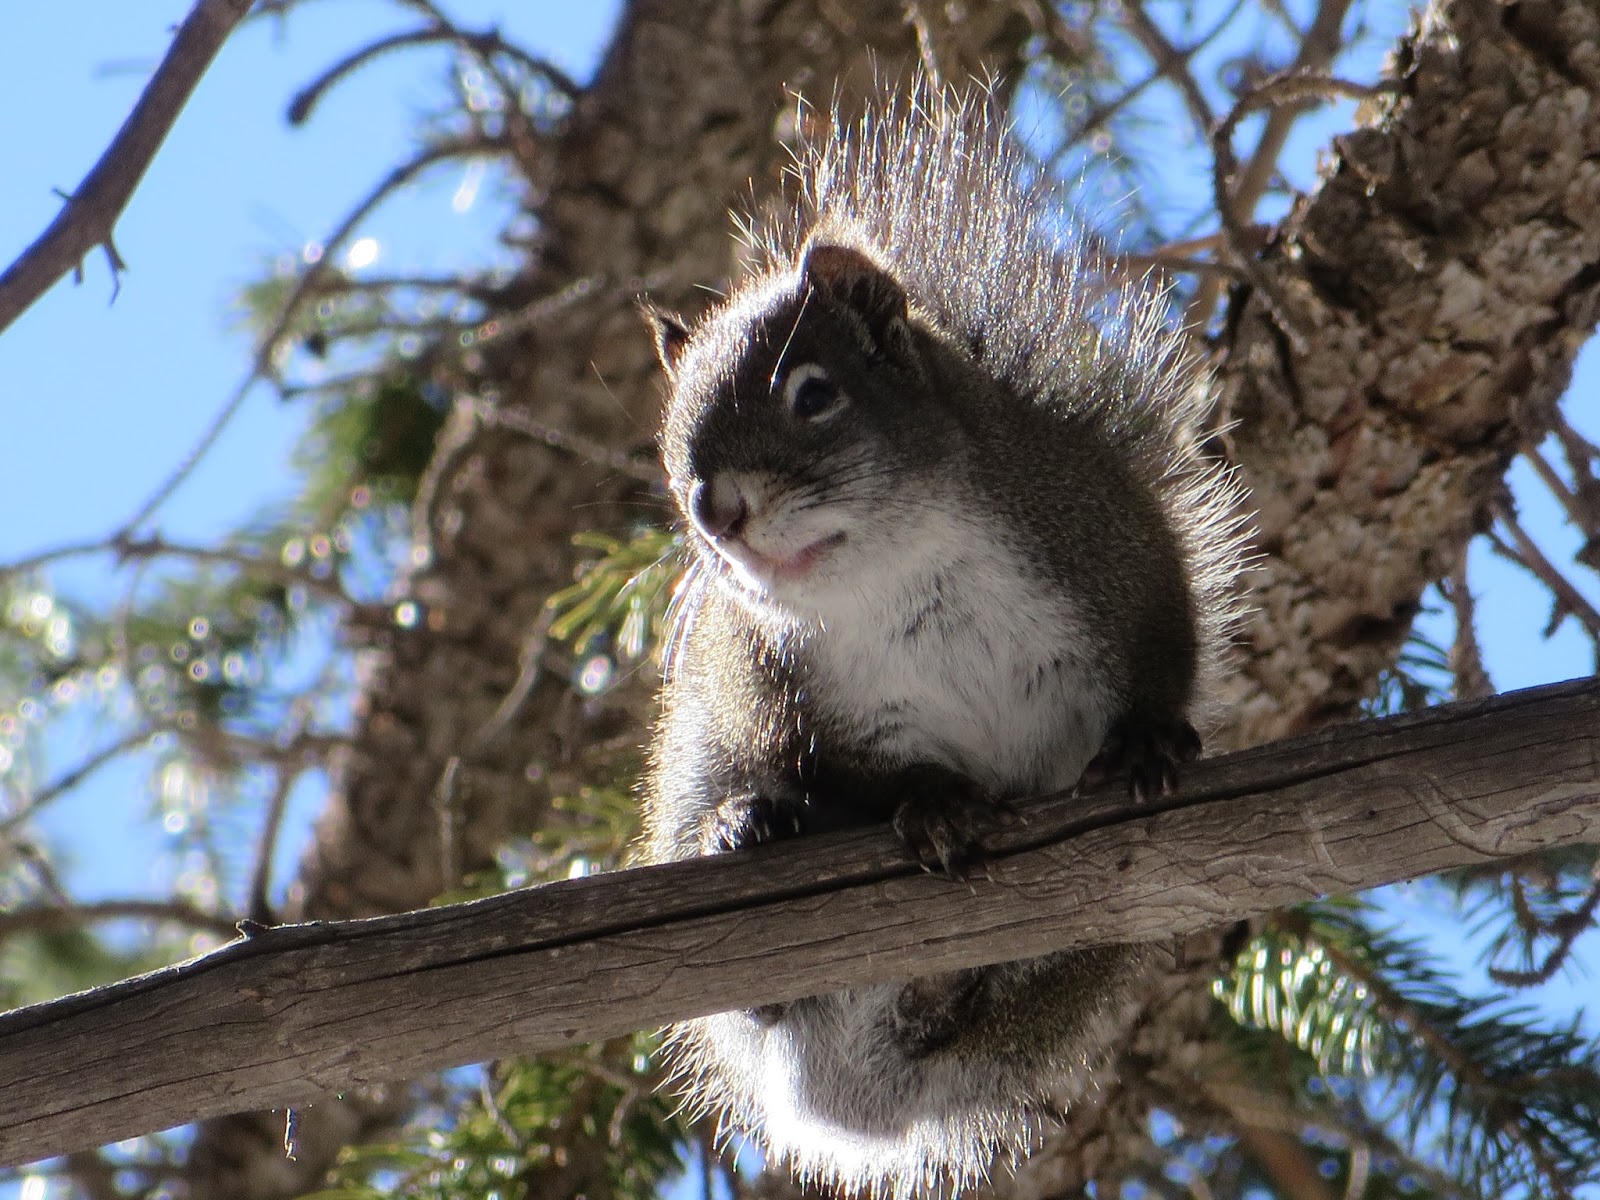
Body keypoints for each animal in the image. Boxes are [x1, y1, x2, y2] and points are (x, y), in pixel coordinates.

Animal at [638, 89, 1250, 1198]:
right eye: (669, 442)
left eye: (815, 394)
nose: (714, 511)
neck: (896, 573)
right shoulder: (806, 694)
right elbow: (863, 770)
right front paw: (928, 807)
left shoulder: (1115, 544)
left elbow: (1167, 653)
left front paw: (1147, 738)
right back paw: (749, 827)